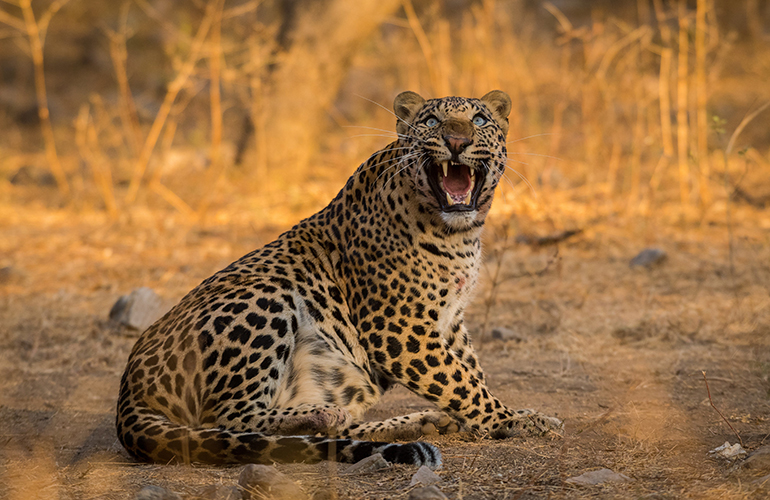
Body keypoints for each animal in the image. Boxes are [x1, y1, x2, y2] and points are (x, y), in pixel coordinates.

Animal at [116, 90, 563, 469]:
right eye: (432, 121)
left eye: (480, 119)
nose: (456, 139)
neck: (458, 233)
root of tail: (128, 392)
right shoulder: (398, 328)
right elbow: (459, 380)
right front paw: (514, 421)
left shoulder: (451, 321)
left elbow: (469, 371)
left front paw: (503, 416)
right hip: (266, 295)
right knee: (227, 419)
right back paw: (319, 415)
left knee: (336, 425)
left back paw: (417, 422)